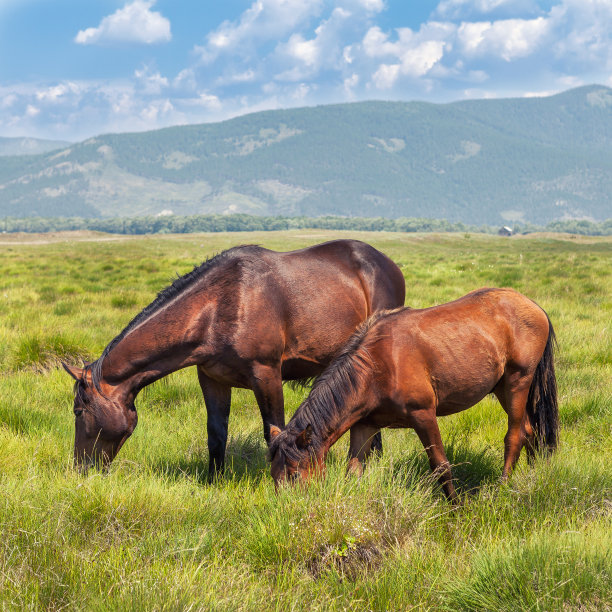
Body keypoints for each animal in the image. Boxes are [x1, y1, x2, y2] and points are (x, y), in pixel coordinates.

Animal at [62, 239, 406, 474]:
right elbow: (216, 435)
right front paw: (214, 480)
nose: (80, 468)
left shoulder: (267, 375)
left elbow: (272, 430)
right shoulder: (212, 379)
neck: (216, 307)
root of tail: (387, 263)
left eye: (78, 411)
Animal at [270, 288, 556, 502]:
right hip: (503, 389)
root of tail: (534, 306)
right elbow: (354, 469)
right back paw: (531, 475)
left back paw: (503, 487)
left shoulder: (424, 416)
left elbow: (441, 465)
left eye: (294, 474)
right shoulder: (364, 425)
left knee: (514, 436)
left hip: (517, 383)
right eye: (273, 475)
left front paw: (457, 508)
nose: (288, 510)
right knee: (529, 430)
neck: (376, 366)